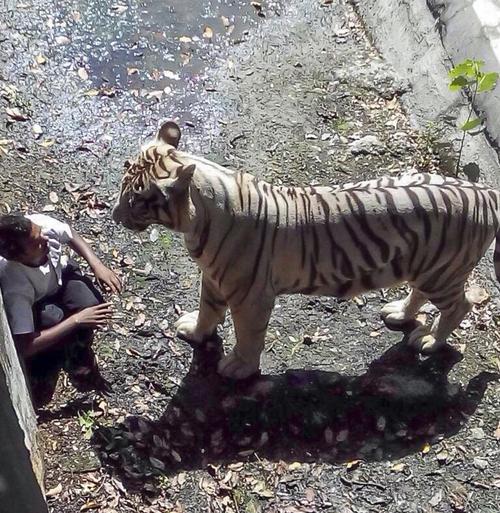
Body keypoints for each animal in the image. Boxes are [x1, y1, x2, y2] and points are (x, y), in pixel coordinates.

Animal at [112, 122, 500, 378]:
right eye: (123, 184)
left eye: (137, 200)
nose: (114, 216)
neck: (197, 220)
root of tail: (485, 191)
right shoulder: (213, 278)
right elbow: (208, 310)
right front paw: (195, 331)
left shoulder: (251, 296)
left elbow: (249, 335)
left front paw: (238, 368)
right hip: (424, 266)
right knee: (419, 294)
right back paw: (399, 313)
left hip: (444, 273)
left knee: (460, 306)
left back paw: (431, 340)